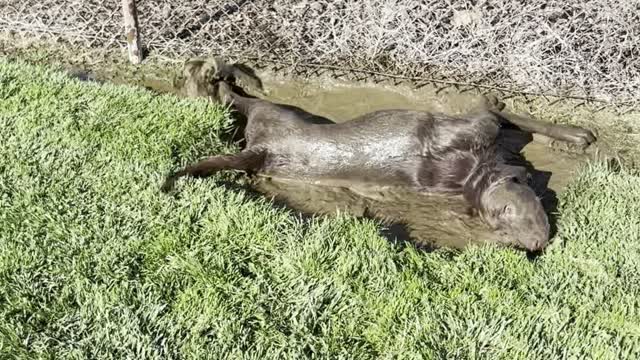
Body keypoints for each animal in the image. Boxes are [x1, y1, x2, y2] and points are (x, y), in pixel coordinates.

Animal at [162, 58, 596, 250]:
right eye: (501, 217)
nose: (533, 245)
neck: (468, 169)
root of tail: (262, 147)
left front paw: (575, 135)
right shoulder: (476, 126)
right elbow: (502, 112)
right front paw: (577, 133)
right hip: (280, 115)